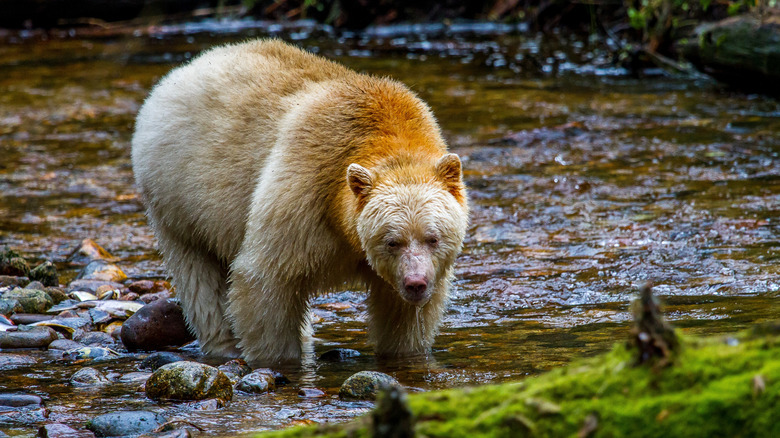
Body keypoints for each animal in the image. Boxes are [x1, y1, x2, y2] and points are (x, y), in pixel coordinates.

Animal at [131, 39, 469, 365]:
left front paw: (406, 353)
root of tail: (184, 69)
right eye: (392, 241)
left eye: (432, 238)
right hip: (178, 199)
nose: (416, 283)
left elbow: (403, 316)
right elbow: (266, 278)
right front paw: (279, 360)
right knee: (200, 280)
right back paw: (224, 345)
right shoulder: (306, 186)